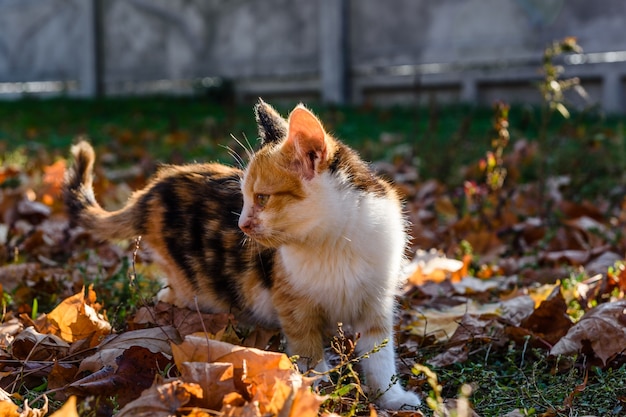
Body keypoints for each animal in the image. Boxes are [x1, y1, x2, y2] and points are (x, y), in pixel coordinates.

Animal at [63, 101, 420, 410]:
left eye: (262, 198)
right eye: (244, 197)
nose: (241, 224)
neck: (332, 242)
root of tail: (151, 191)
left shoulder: (377, 299)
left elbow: (380, 354)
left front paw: (392, 398)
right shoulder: (292, 304)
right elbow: (308, 352)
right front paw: (313, 392)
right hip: (194, 285)